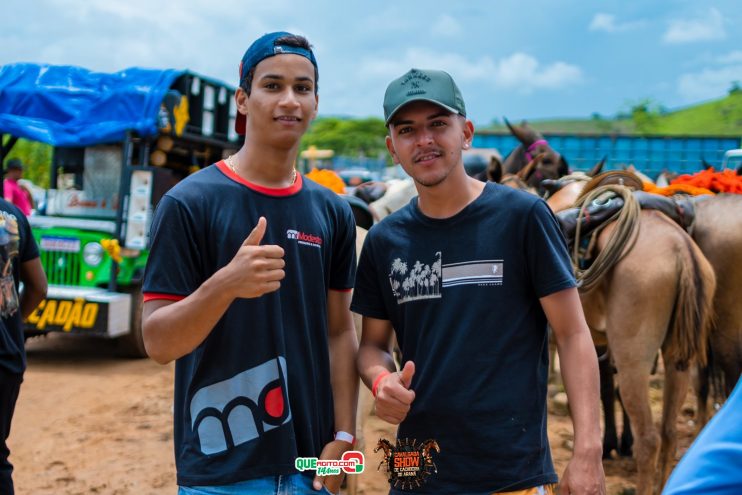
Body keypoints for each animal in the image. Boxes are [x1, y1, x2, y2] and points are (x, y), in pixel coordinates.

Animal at [548, 176, 716, 494]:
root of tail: (681, 249)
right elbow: (601, 389)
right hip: (677, 357)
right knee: (669, 431)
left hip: (633, 360)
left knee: (649, 439)